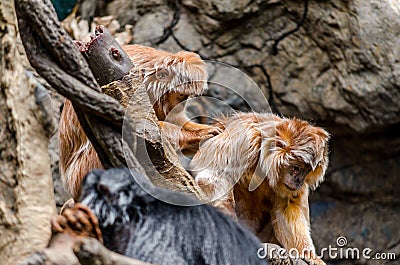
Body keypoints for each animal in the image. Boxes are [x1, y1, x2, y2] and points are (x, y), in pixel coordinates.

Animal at [191, 112, 328, 264]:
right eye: (296, 168)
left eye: (306, 171)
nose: (299, 181)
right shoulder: (245, 138)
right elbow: (213, 175)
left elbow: (286, 208)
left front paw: (308, 255)